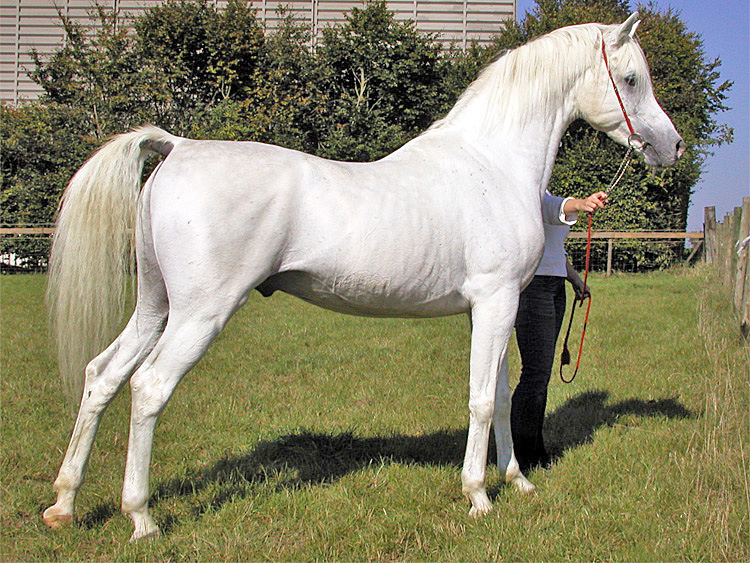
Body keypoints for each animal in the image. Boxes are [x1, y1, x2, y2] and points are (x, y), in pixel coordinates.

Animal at [43, 13, 683, 541]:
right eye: (630, 79)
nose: (671, 145)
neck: (492, 163)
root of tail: (178, 147)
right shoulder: (497, 300)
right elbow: (480, 401)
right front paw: (478, 495)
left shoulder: (489, 310)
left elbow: (500, 397)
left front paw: (518, 481)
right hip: (200, 313)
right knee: (149, 387)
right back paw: (142, 518)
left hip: (155, 307)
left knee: (103, 376)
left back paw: (65, 504)